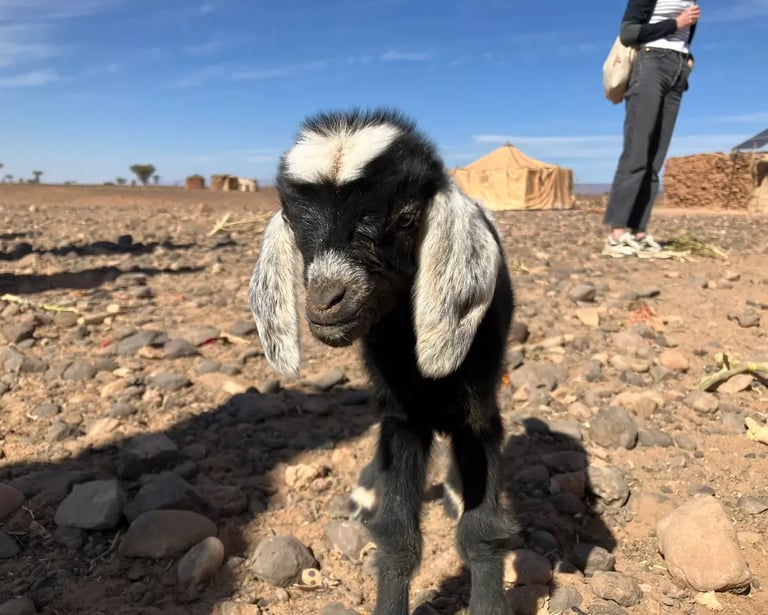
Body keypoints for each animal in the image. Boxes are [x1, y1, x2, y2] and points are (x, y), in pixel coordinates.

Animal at [248, 108, 517, 615]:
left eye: (407, 217)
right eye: (292, 219)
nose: (325, 300)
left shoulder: (479, 411)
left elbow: (481, 534)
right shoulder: (401, 418)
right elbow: (396, 538)